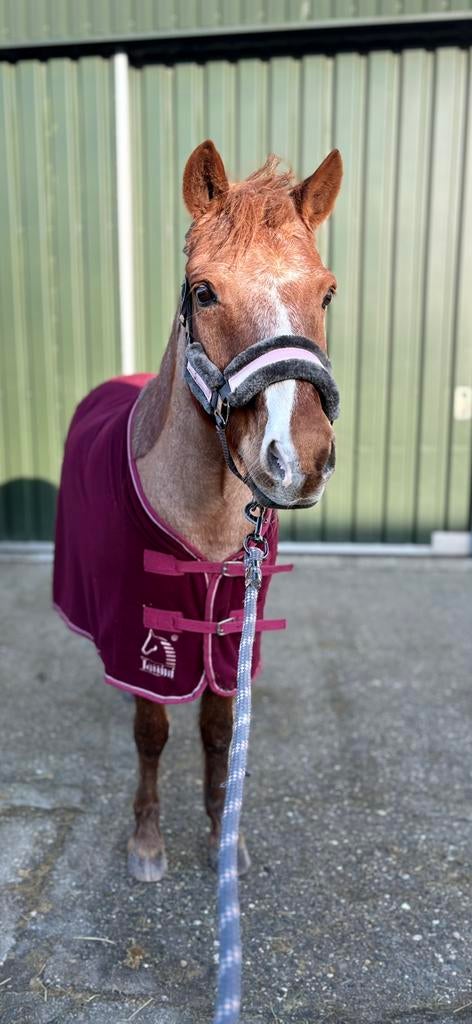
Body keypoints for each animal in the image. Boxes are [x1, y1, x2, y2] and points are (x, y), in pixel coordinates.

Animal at [53, 140, 342, 883]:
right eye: (204, 291)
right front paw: (147, 840)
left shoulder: (230, 626)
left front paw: (223, 838)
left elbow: (217, 730)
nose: (297, 459)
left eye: (326, 292)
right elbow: (152, 729)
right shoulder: (145, 632)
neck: (209, 521)